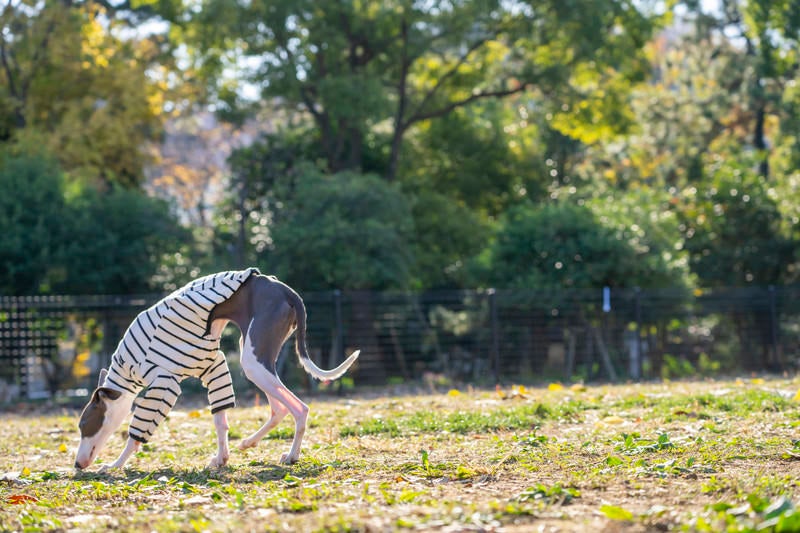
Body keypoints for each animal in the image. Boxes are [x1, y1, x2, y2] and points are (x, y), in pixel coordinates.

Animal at [73, 270, 360, 470]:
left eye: (84, 424)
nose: (76, 464)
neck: (128, 368)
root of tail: (285, 290)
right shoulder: (213, 367)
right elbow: (220, 420)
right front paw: (222, 458)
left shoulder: (164, 384)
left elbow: (138, 431)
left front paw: (115, 464)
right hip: (257, 358)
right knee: (279, 408)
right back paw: (249, 442)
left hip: (253, 361)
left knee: (300, 408)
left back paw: (291, 455)